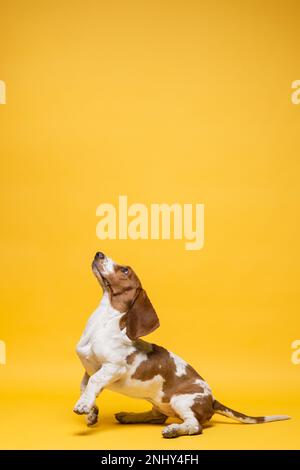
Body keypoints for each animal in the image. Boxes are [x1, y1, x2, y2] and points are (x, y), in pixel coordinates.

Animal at [73, 252, 290, 438]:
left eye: (125, 270)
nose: (99, 254)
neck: (103, 322)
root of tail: (212, 400)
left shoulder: (113, 367)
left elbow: (94, 382)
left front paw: (83, 406)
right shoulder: (89, 369)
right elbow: (86, 386)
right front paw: (91, 411)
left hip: (182, 401)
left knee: (194, 426)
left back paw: (174, 430)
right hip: (160, 403)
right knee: (157, 416)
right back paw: (130, 416)